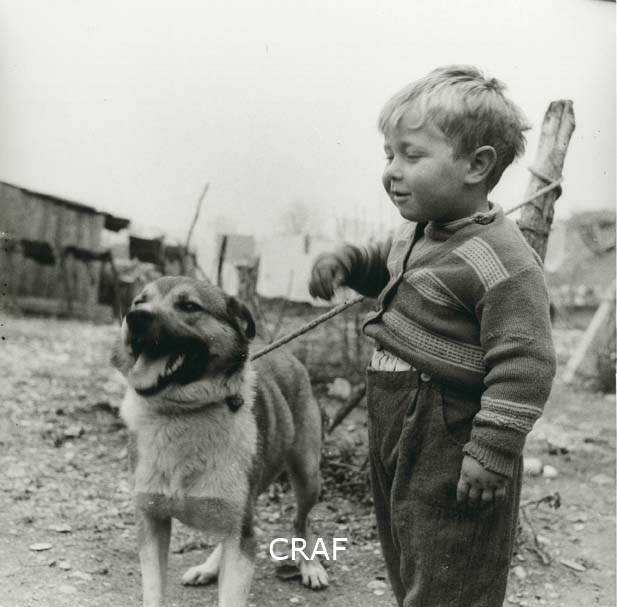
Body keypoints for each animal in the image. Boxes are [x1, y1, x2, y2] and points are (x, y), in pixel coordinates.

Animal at [111, 276, 329, 607]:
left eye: (189, 306)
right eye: (139, 301)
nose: (135, 317)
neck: (183, 413)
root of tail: (287, 354)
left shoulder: (241, 536)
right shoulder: (151, 521)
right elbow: (154, 591)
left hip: (307, 475)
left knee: (301, 521)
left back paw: (310, 566)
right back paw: (209, 568)